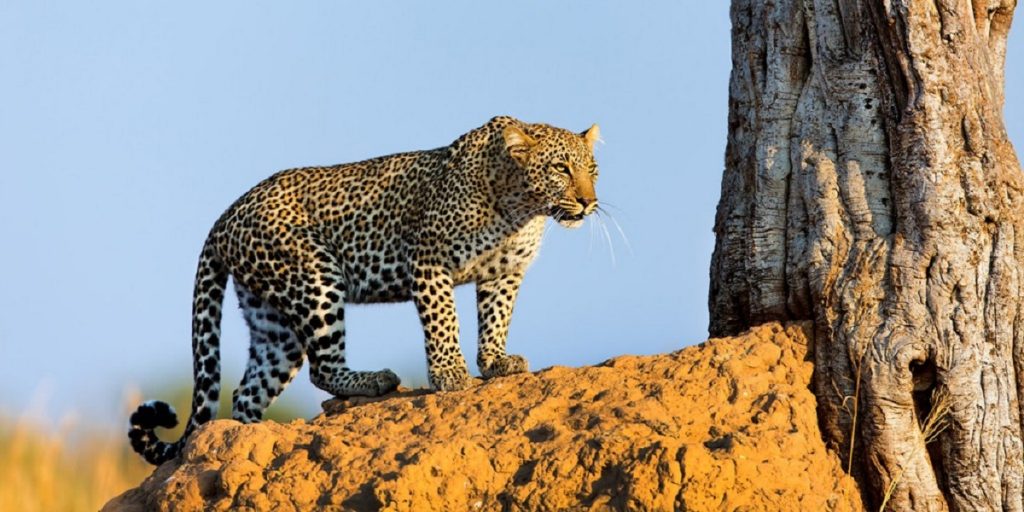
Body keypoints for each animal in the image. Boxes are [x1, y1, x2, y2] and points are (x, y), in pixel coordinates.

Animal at [131, 115, 602, 464]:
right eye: (561, 169)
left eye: (592, 170)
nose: (588, 202)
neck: (521, 208)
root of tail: (226, 214)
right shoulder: (428, 262)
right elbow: (443, 322)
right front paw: (451, 374)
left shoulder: (504, 274)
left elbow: (496, 317)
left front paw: (496, 362)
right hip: (315, 278)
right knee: (322, 369)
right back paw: (375, 380)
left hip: (274, 323)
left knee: (246, 391)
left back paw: (250, 439)